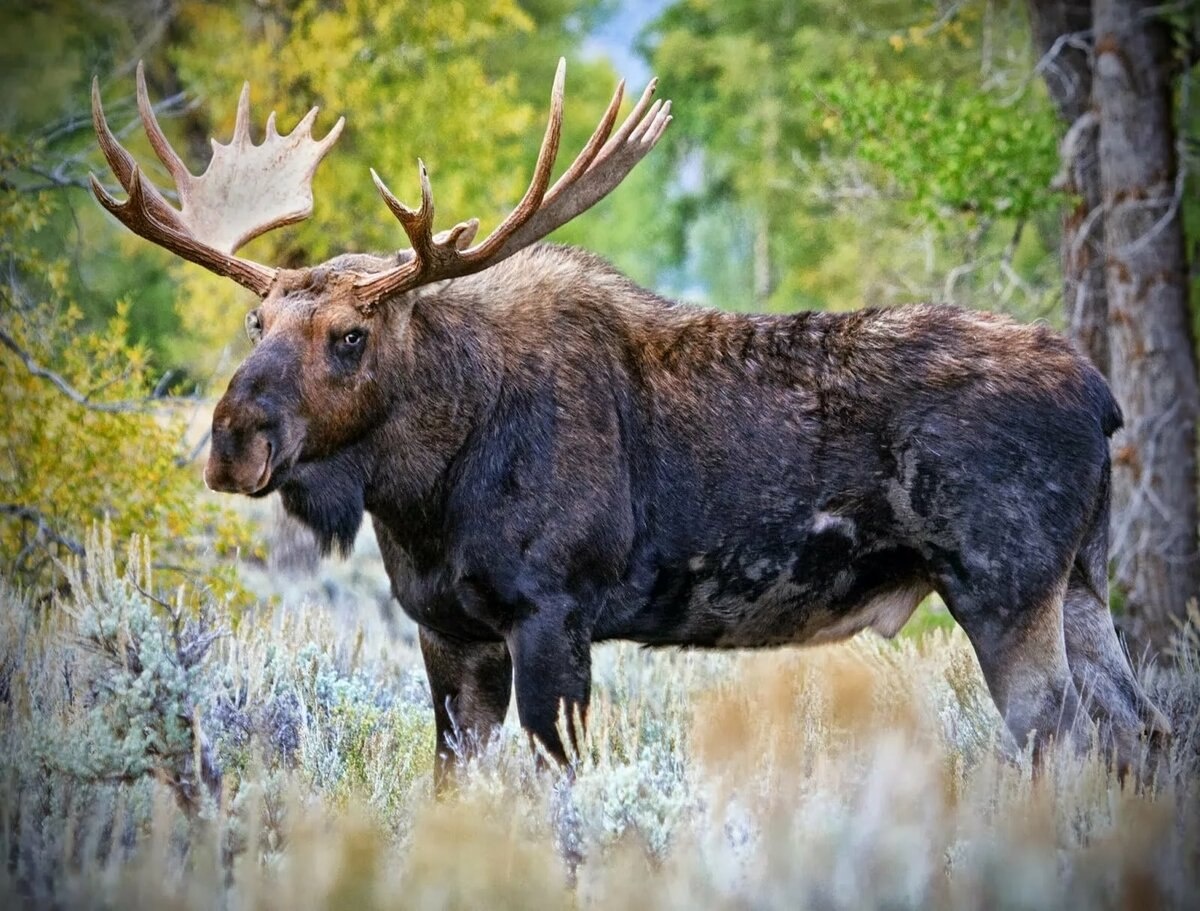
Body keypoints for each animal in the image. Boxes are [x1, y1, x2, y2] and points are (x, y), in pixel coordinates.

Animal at [96, 60, 1171, 782]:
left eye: (352, 334)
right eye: (257, 321)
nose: (234, 438)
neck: (422, 495)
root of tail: (1102, 396)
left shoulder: (553, 609)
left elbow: (562, 781)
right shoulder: (447, 629)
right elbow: (451, 781)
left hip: (1001, 582)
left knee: (1063, 736)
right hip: (1078, 581)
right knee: (1140, 727)